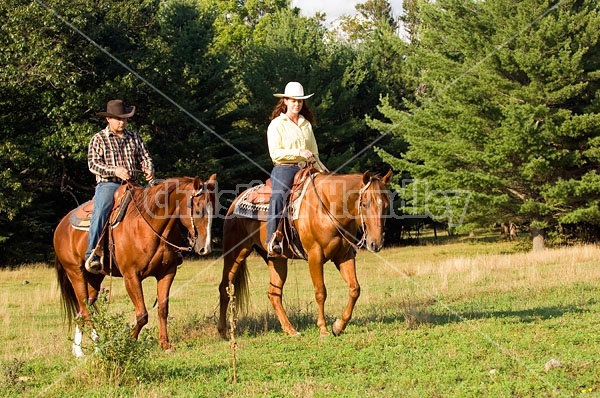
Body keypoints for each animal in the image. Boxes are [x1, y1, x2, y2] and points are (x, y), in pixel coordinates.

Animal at [52, 176, 214, 356]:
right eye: (199, 210)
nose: (205, 248)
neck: (148, 226)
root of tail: (61, 226)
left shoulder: (167, 272)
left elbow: (162, 309)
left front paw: (165, 345)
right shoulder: (131, 276)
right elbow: (142, 314)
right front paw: (129, 341)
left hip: (94, 279)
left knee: (81, 310)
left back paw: (78, 350)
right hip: (75, 274)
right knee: (86, 311)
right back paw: (96, 345)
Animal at [219, 169, 394, 338]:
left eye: (386, 205)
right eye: (364, 204)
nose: (376, 243)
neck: (328, 207)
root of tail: (236, 201)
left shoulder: (344, 256)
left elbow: (355, 289)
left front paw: (338, 326)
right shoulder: (315, 256)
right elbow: (320, 292)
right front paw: (323, 329)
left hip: (276, 259)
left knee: (274, 293)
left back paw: (290, 330)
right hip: (235, 252)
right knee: (224, 287)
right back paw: (222, 332)